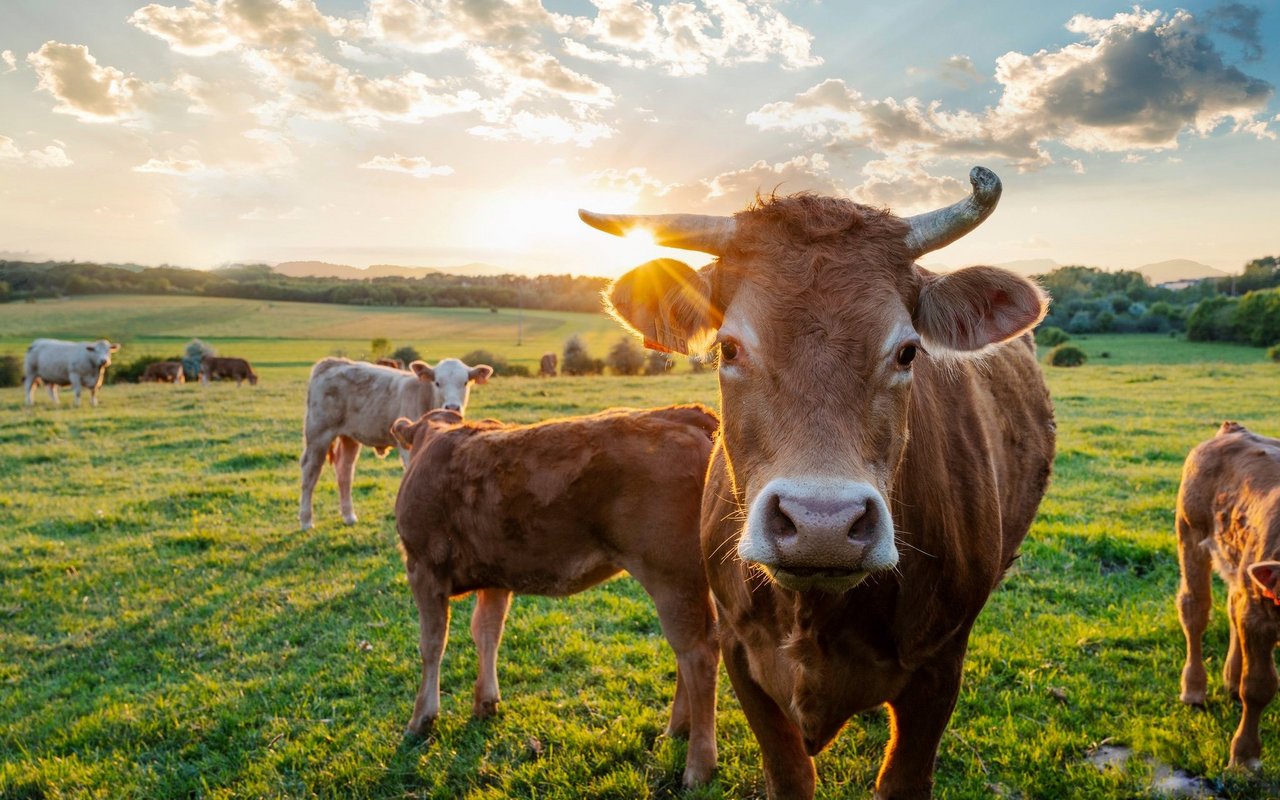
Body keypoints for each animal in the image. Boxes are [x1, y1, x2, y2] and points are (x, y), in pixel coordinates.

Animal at [299, 356, 493, 530]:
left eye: (465, 383)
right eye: (437, 383)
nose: (452, 407)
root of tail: (331, 362)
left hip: (349, 437)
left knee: (344, 471)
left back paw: (349, 516)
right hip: (318, 433)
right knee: (310, 472)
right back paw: (306, 521)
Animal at [389, 404, 720, 787]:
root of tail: (678, 414)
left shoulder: (422, 568)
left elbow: (431, 645)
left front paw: (421, 720)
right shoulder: (494, 577)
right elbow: (486, 632)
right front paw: (485, 702)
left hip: (671, 576)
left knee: (697, 654)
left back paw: (698, 766)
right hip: (687, 581)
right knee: (689, 651)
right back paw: (677, 730)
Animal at [580, 166, 1056, 799]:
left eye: (908, 351)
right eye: (728, 347)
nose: (821, 525)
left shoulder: (940, 666)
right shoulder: (741, 655)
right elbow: (788, 773)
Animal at [1176, 421, 1280, 770]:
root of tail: (1233, 430)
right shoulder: (1261, 617)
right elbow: (1260, 686)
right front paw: (1245, 757)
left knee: (1234, 608)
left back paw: (1232, 680)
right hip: (1190, 532)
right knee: (1194, 610)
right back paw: (1194, 689)